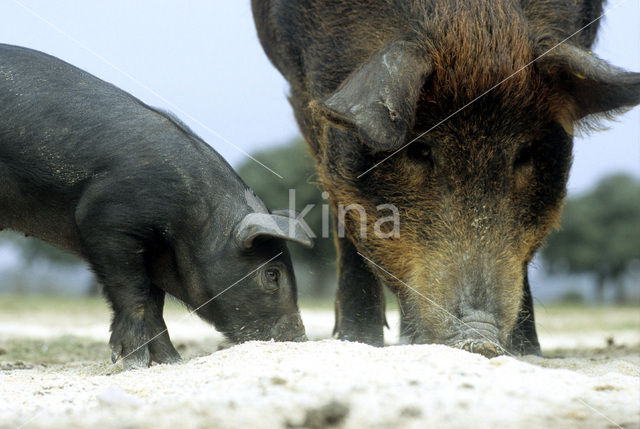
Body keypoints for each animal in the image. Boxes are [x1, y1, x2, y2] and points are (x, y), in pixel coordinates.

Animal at [0, 44, 312, 368]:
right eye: (272, 274)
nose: (300, 338)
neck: (193, 220)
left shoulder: (153, 249)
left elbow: (155, 304)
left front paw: (171, 361)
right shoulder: (105, 218)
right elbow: (134, 293)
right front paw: (132, 363)